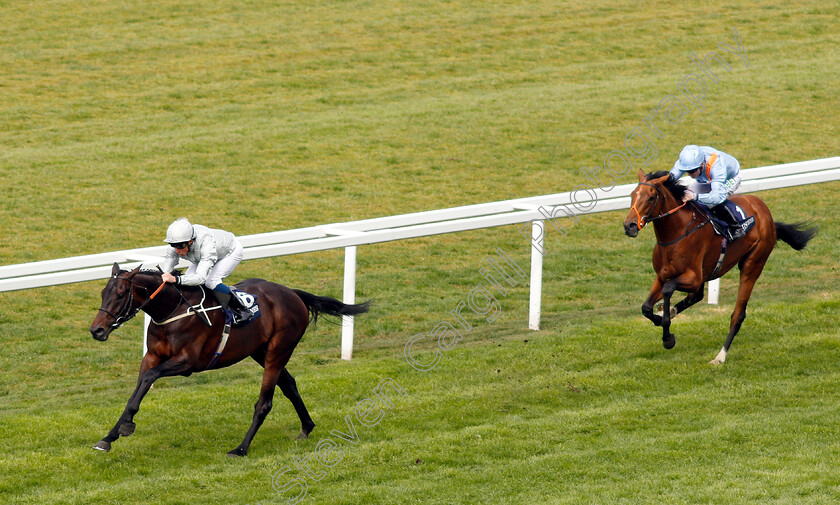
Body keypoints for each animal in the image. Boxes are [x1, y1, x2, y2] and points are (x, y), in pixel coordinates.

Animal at [88, 262, 370, 454]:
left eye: (121, 295)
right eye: (103, 293)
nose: (96, 330)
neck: (173, 310)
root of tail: (292, 293)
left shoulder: (188, 362)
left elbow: (148, 378)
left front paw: (125, 427)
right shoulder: (152, 356)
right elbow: (137, 391)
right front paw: (111, 435)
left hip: (278, 350)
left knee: (265, 402)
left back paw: (241, 448)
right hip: (260, 351)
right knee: (289, 385)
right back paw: (307, 427)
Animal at [624, 169, 812, 362]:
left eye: (650, 198)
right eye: (632, 195)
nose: (629, 226)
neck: (676, 234)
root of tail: (766, 213)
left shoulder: (692, 277)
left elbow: (668, 289)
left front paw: (668, 337)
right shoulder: (663, 275)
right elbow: (646, 308)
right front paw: (662, 318)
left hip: (753, 264)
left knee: (738, 315)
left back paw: (720, 357)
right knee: (697, 295)